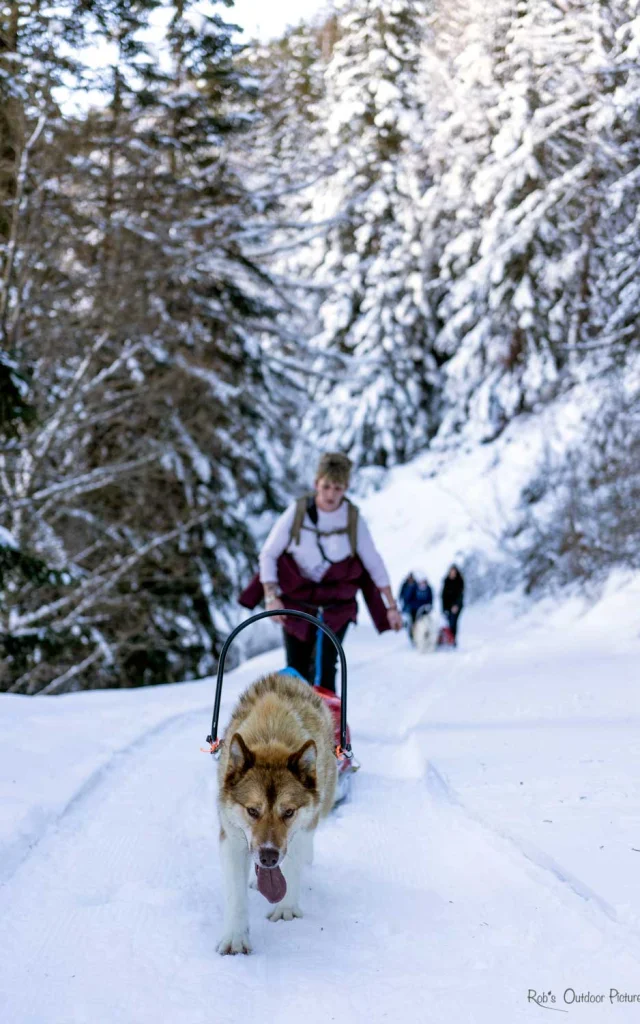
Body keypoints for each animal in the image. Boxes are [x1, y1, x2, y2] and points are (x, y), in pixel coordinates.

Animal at [216, 675, 337, 954]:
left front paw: (286, 909)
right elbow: (236, 894)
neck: (272, 735)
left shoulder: (300, 831)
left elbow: (292, 867)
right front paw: (236, 937)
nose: (269, 857)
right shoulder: (232, 838)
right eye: (252, 810)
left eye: (289, 811)